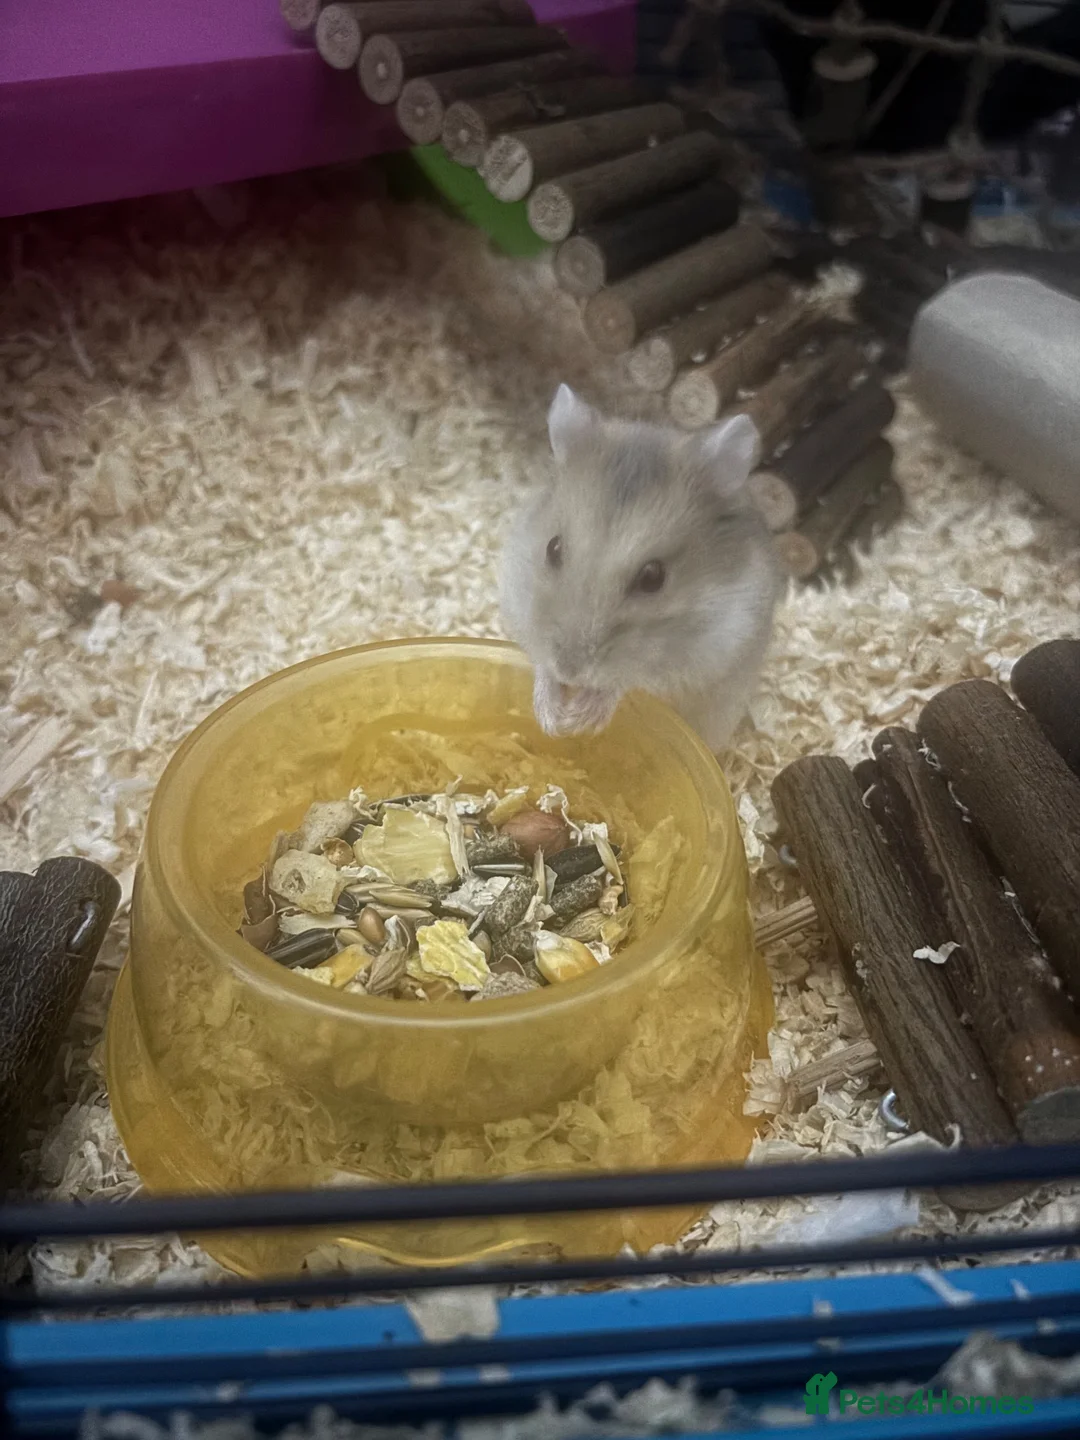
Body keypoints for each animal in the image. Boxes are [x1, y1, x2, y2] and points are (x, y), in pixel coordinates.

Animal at [499, 384, 782, 753]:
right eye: (553, 548)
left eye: (653, 577)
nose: (569, 671)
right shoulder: (520, 605)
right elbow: (539, 661)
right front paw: (552, 717)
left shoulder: (701, 657)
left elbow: (630, 680)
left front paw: (579, 718)